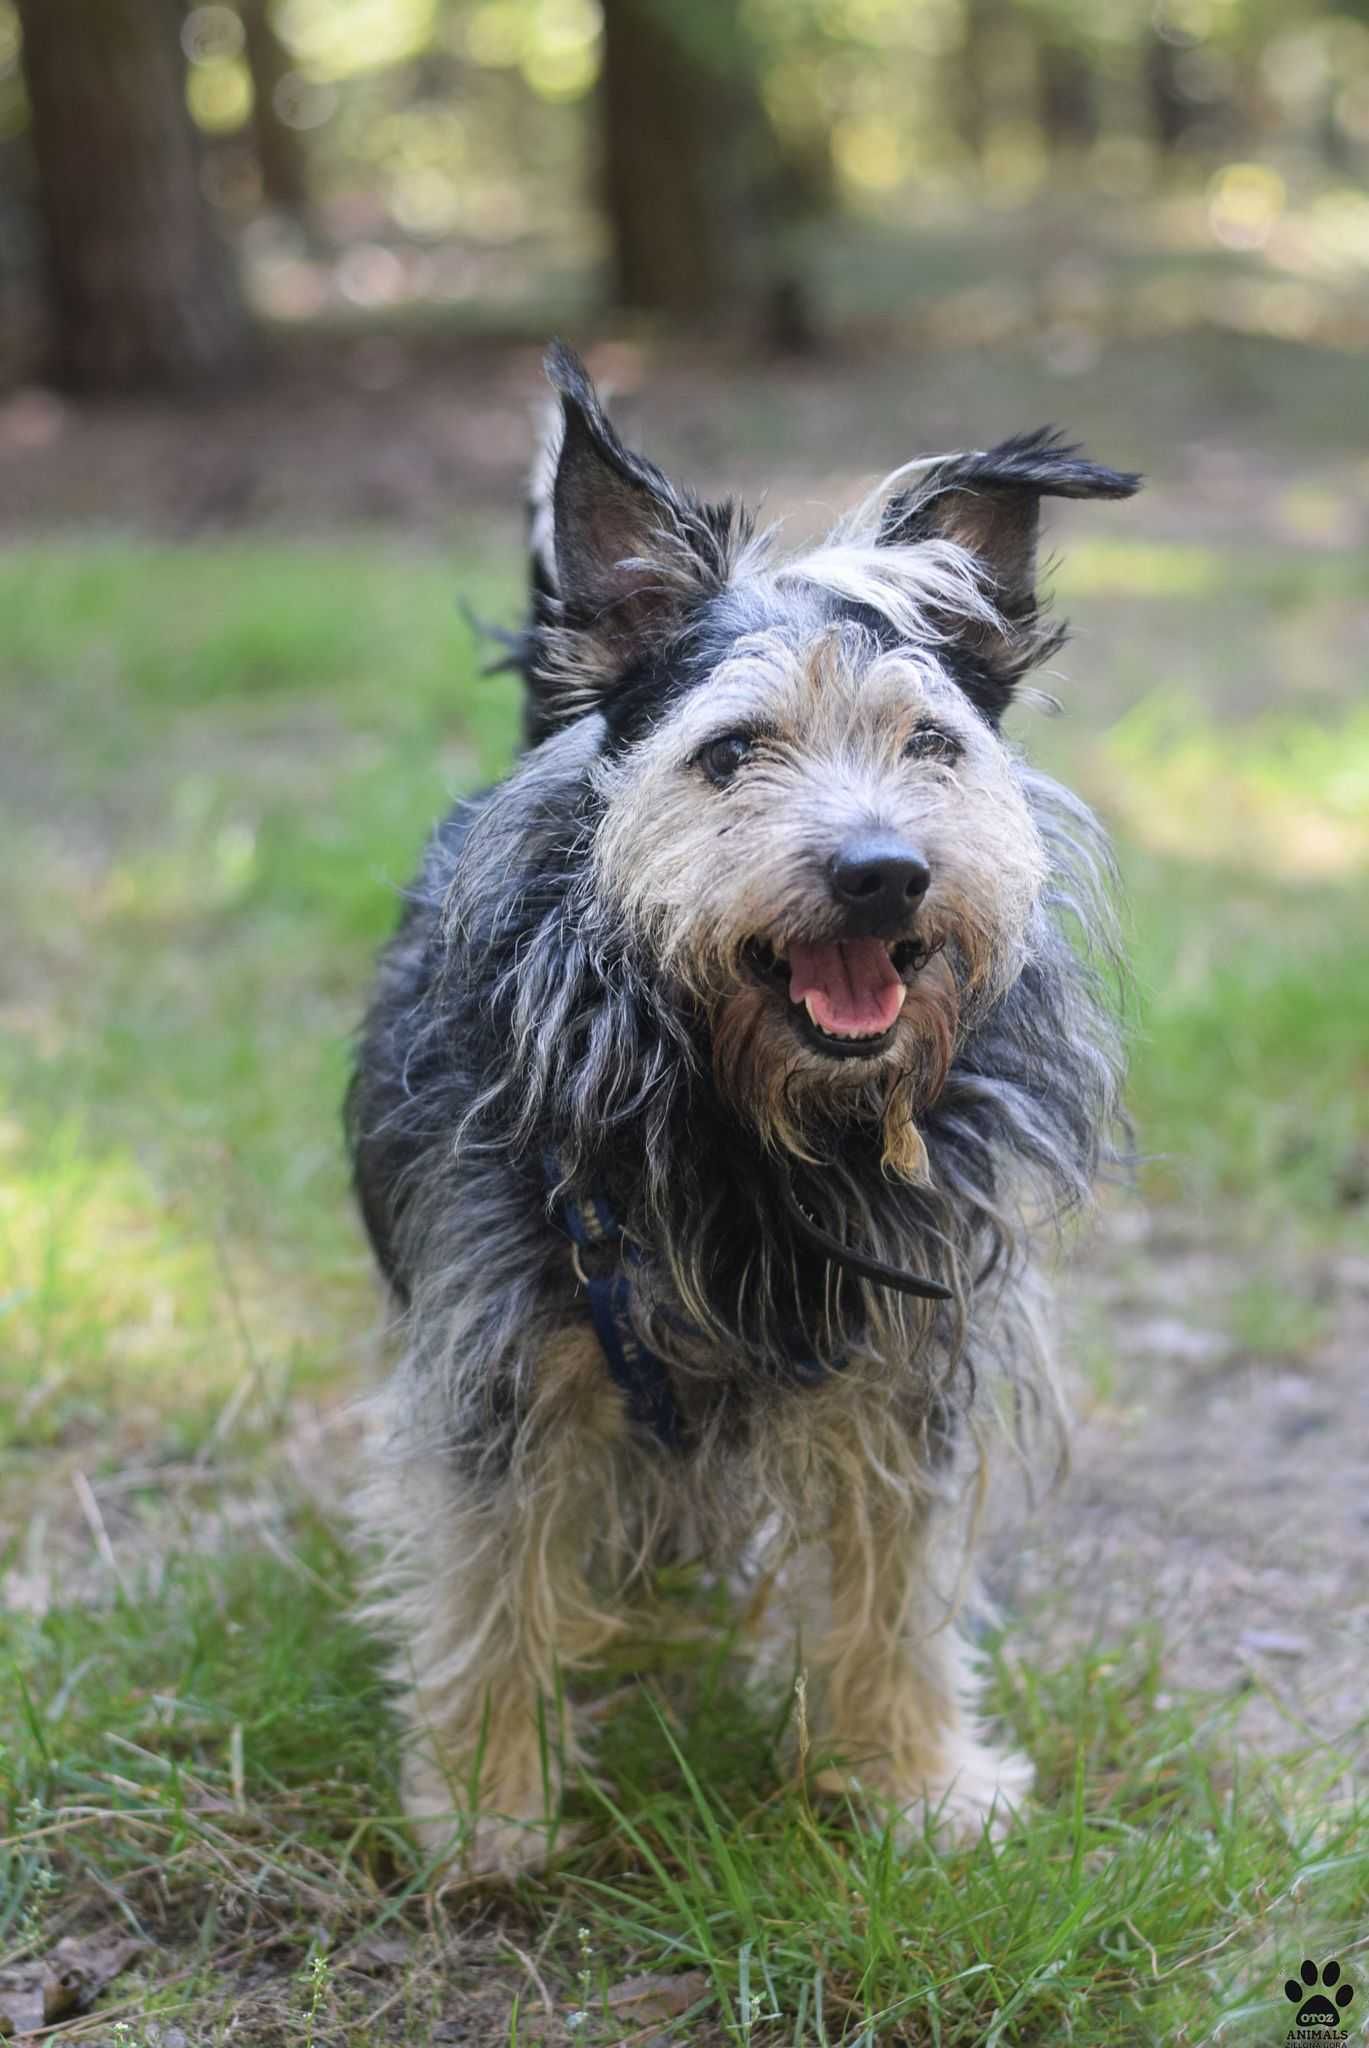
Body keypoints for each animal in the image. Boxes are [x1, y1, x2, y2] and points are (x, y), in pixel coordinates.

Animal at [348, 339, 1139, 1875]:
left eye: (929, 744)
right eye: (730, 753)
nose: (883, 870)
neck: (759, 1119)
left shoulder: (902, 1355)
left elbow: (893, 1580)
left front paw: (907, 1780)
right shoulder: (501, 1352)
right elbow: (489, 1581)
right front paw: (487, 1810)